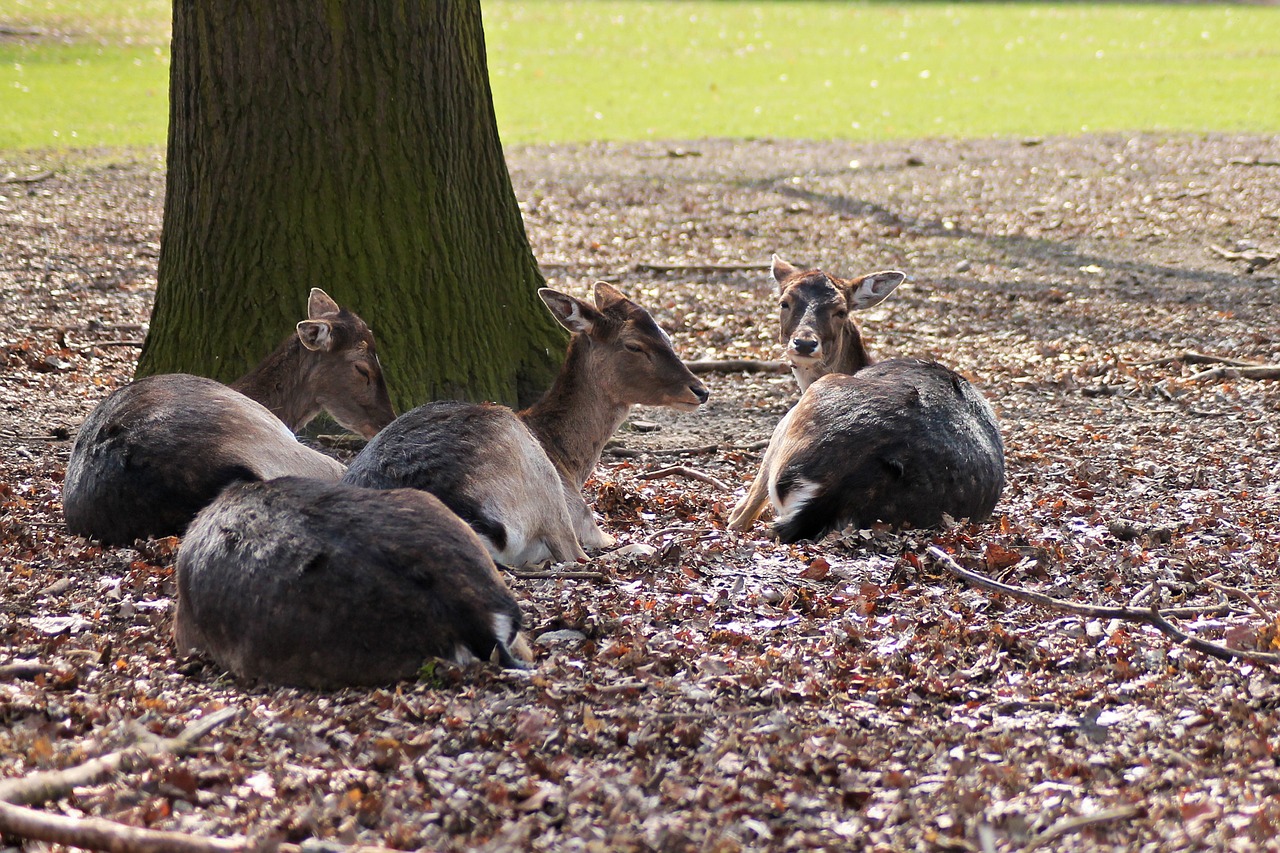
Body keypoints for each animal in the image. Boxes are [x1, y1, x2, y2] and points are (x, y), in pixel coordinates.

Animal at [345, 279, 711, 568]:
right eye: (634, 345)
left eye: (667, 337)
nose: (701, 390)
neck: (568, 461)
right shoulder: (581, 515)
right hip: (536, 473)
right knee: (575, 556)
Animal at [727, 256, 1003, 540]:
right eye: (785, 302)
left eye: (840, 310)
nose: (804, 344)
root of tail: (840, 487)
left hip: (800, 414)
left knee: (743, 514)